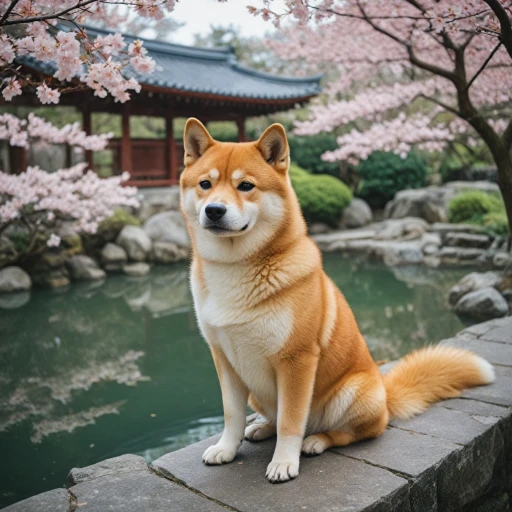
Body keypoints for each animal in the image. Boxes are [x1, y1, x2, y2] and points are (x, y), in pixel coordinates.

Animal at [181, 118, 496, 482]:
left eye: (245, 186)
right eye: (205, 184)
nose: (214, 210)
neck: (234, 270)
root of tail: (385, 394)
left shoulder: (297, 359)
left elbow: (291, 421)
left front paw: (284, 462)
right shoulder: (224, 358)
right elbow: (232, 416)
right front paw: (226, 449)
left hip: (352, 393)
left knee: (357, 432)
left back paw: (316, 441)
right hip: (260, 395)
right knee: (274, 417)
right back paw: (261, 428)